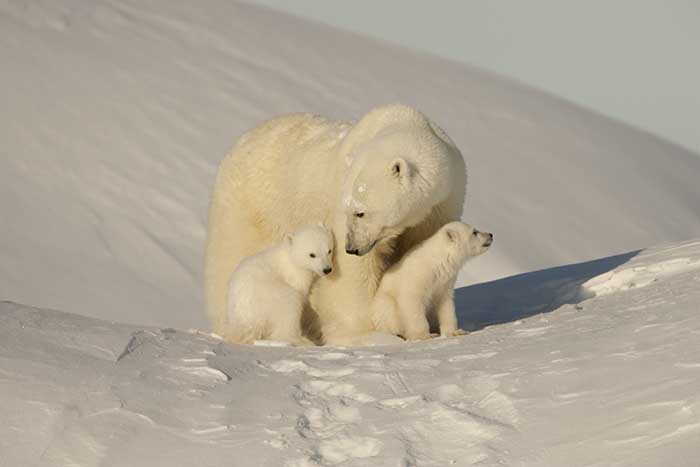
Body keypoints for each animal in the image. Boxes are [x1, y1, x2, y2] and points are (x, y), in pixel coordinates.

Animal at [209, 107, 470, 348]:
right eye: (349, 210)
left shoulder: (442, 204)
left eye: (360, 211)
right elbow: (353, 276)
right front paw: (366, 332)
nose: (351, 248)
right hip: (249, 209)